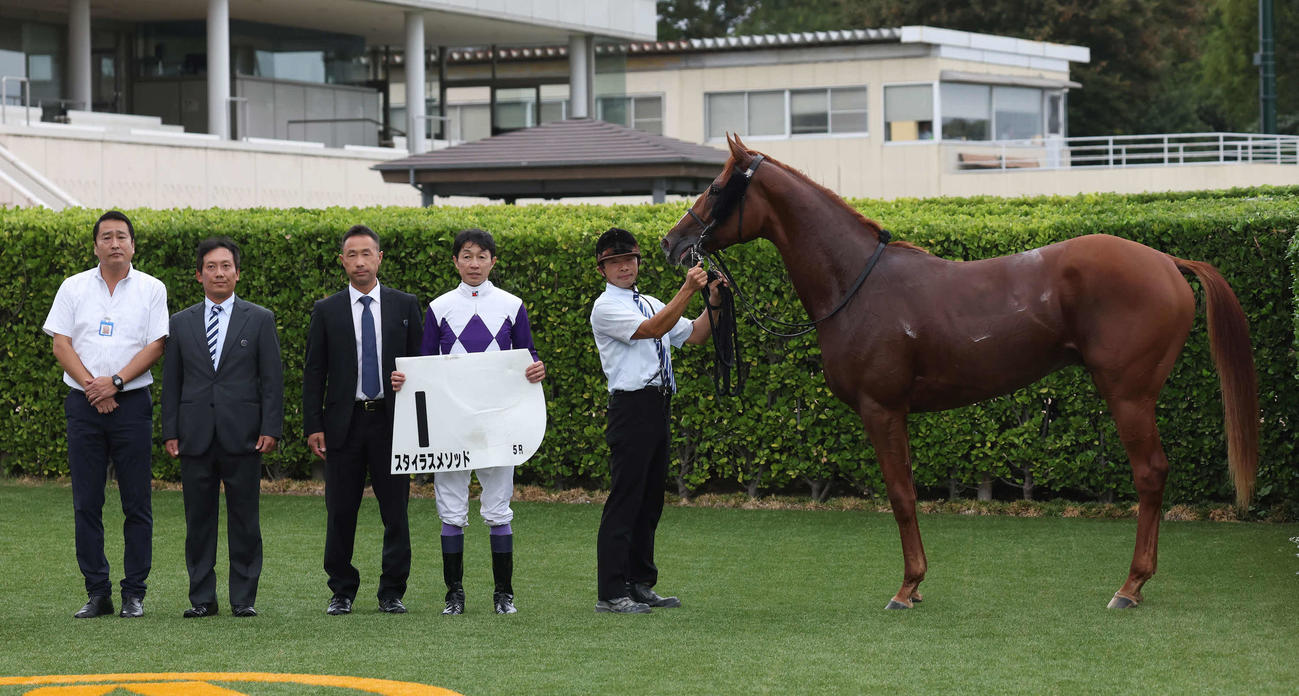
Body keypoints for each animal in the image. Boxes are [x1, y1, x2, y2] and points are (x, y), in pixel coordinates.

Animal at [661, 134, 1258, 610]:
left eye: (717, 187)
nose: (671, 242)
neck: (858, 284)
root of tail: (1166, 262)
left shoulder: (882, 409)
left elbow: (901, 495)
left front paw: (907, 588)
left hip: (1129, 395)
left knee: (1150, 474)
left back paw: (1130, 587)